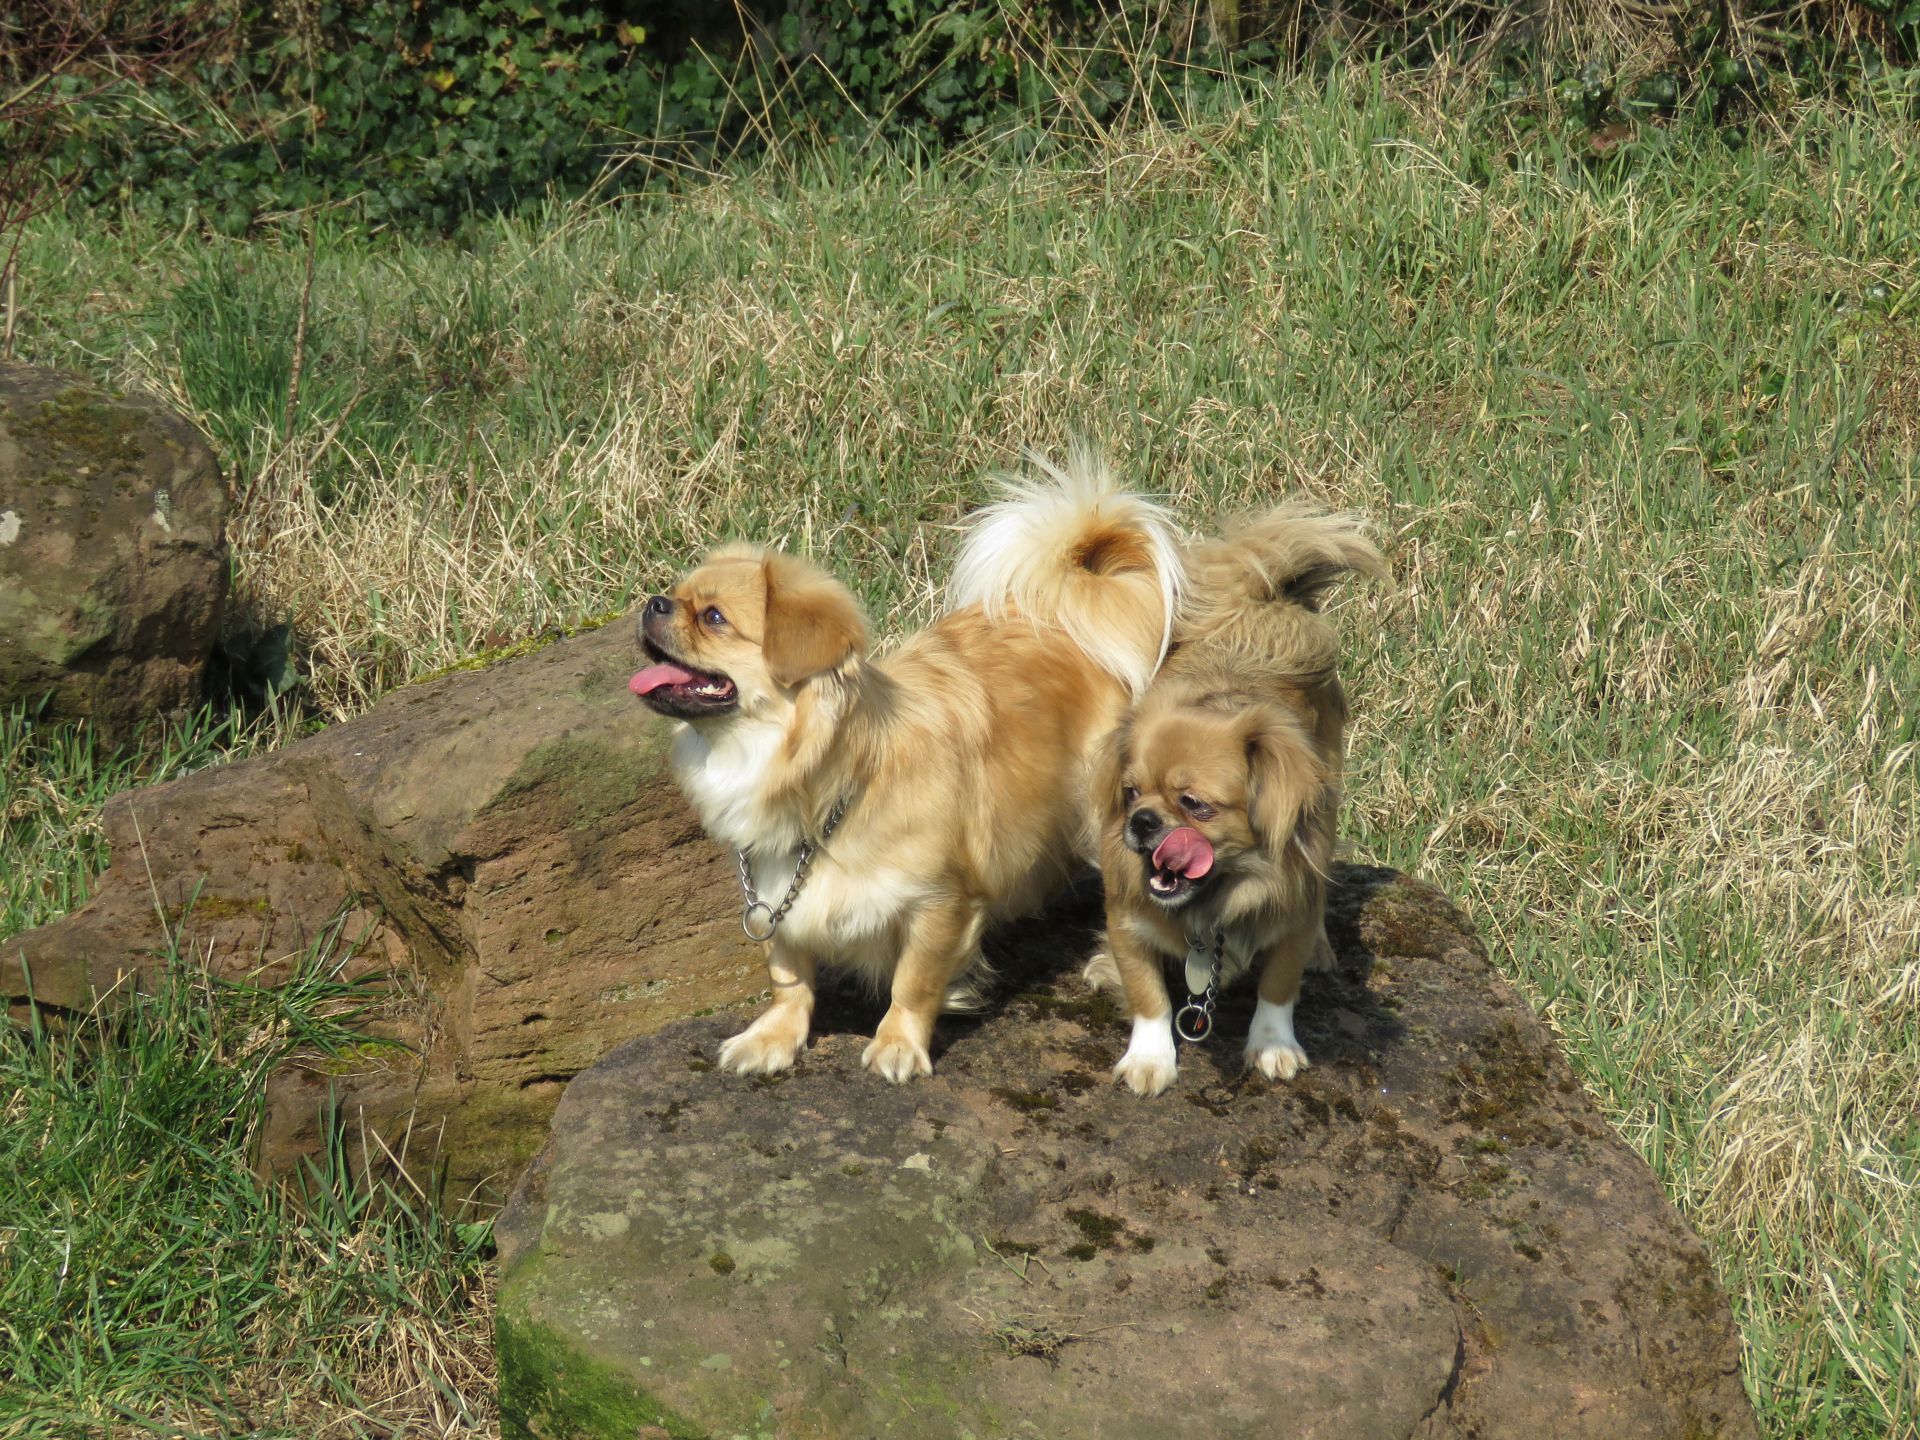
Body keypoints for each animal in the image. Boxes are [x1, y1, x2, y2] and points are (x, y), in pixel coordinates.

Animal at [630, 451, 1183, 1082]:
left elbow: (912, 982)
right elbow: (788, 976)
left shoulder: (938, 902)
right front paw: (773, 1037)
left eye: (715, 618)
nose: (653, 602)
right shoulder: (772, 890)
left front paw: (898, 1044)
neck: (826, 782)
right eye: (675, 596)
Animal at [1084, 505, 1384, 1096]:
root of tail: (1258, 602)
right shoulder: (1127, 922)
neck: (1215, 899)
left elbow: (1277, 989)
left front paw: (1272, 1047)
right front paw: (1151, 1060)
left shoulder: (1289, 915)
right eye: (1131, 794)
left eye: (1195, 804)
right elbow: (1149, 996)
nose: (1143, 822)